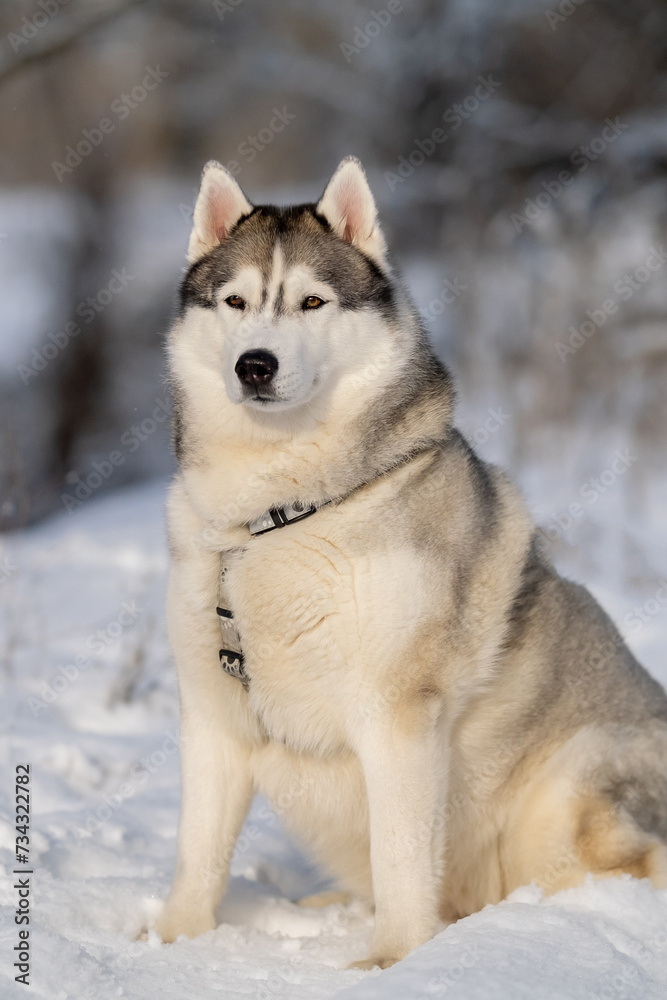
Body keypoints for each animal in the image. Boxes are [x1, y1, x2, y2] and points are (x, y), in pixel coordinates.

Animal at [158, 158, 667, 968]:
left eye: (311, 301)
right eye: (235, 301)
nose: (255, 365)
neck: (275, 517)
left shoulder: (398, 716)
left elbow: (400, 853)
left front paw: (394, 960)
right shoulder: (212, 710)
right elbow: (198, 849)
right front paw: (172, 942)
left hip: (571, 785)